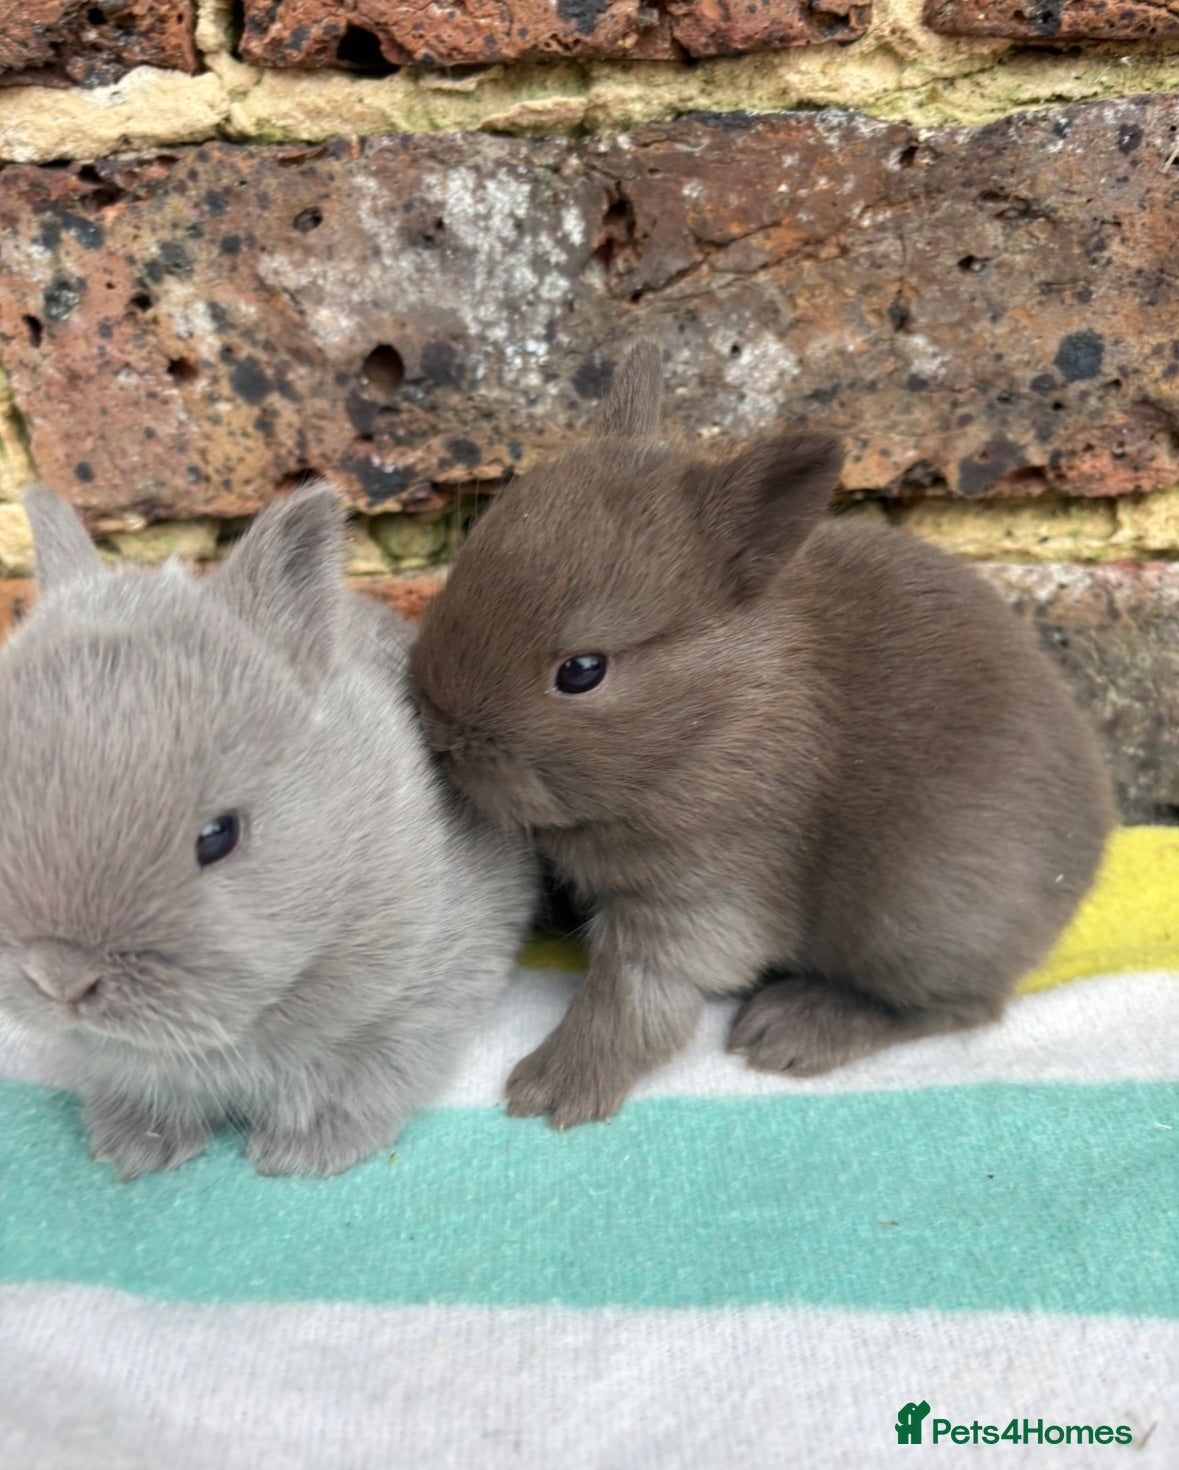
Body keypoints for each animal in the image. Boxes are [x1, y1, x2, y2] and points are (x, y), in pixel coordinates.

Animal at [0, 483, 535, 1178]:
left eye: (218, 836)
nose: (60, 979)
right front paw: (138, 1149)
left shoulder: (413, 1004)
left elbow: (356, 1084)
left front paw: (306, 1154)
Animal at [410, 341, 1115, 1129]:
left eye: (581, 671)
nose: (440, 731)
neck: (712, 722)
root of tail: (1086, 856)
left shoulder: (704, 893)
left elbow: (634, 998)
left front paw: (554, 1087)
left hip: (918, 922)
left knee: (955, 1009)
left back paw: (792, 1027)